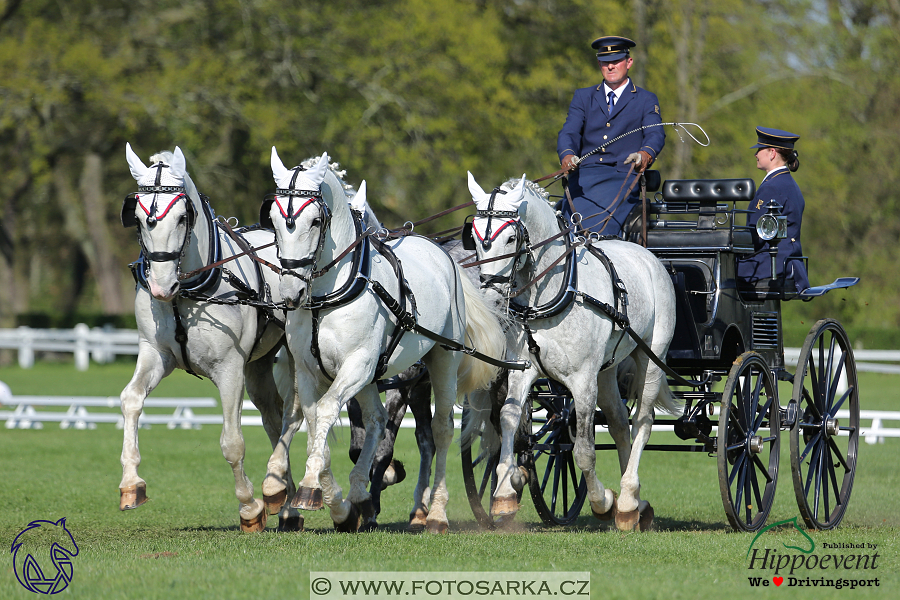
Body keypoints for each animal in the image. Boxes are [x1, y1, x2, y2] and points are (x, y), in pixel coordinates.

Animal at [118, 143, 296, 532]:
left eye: (182, 217)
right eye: (137, 217)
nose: (160, 287)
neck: (186, 292)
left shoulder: (229, 368)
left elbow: (232, 442)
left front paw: (250, 508)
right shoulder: (156, 353)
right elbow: (131, 400)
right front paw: (131, 484)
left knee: (300, 411)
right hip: (258, 366)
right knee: (274, 416)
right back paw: (285, 496)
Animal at [262, 149, 506, 528]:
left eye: (316, 221)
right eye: (272, 218)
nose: (290, 293)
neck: (328, 295)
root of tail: (442, 253)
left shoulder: (360, 365)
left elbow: (331, 412)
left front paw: (311, 486)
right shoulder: (309, 370)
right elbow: (316, 421)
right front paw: (337, 501)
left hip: (441, 360)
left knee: (440, 430)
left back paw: (435, 512)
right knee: (379, 423)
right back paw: (361, 495)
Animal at [464, 172, 676, 528]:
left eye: (510, 238)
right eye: (476, 238)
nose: (491, 295)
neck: (553, 291)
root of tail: (647, 254)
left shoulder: (582, 380)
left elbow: (583, 450)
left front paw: (601, 500)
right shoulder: (523, 370)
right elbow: (508, 419)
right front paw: (507, 489)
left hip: (650, 359)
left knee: (643, 422)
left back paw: (626, 498)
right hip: (606, 370)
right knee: (620, 425)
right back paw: (632, 506)